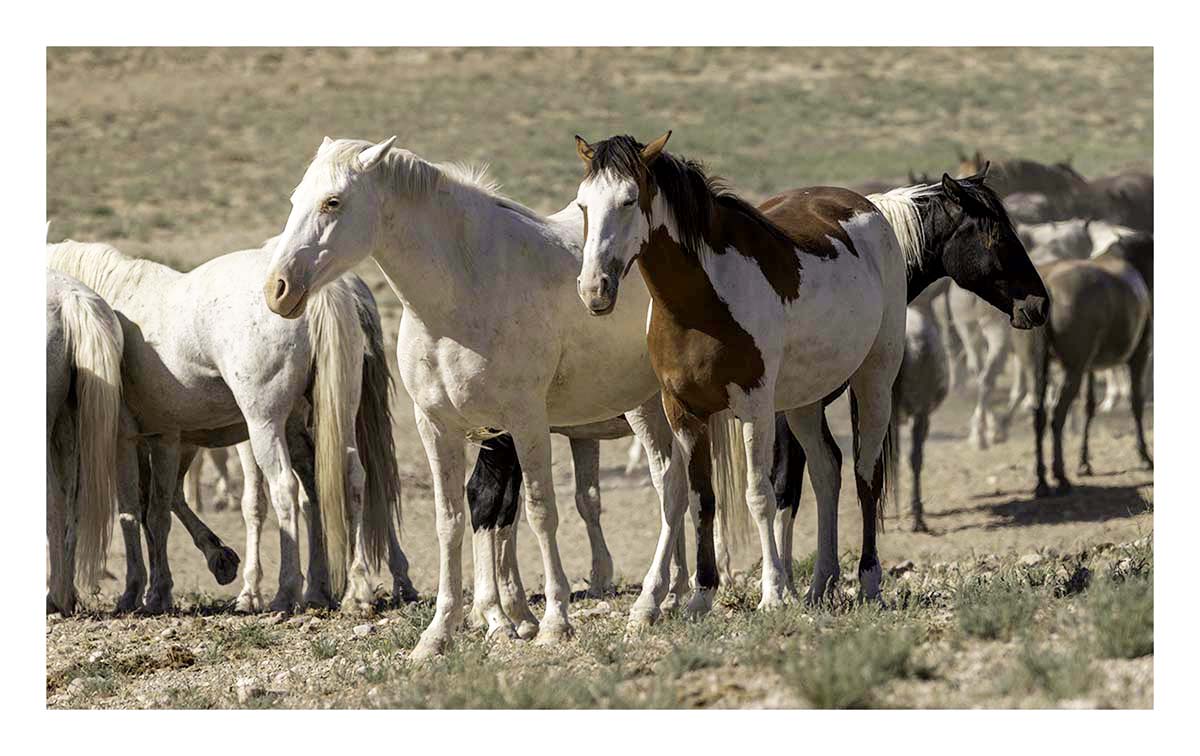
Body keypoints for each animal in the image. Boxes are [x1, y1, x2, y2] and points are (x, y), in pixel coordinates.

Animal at [47, 241, 413, 614]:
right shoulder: (166, 437)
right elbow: (160, 509)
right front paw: (170, 585)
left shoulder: (128, 438)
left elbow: (135, 511)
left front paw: (137, 592)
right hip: (331, 415)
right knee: (348, 480)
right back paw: (345, 591)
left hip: (265, 423)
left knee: (285, 489)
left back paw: (287, 593)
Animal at [262, 137, 699, 657]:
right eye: (294, 199)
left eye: (333, 202)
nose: (277, 288)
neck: (464, 290)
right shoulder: (438, 427)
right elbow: (453, 520)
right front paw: (440, 632)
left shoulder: (525, 421)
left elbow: (539, 512)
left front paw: (553, 622)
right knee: (679, 486)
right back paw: (672, 597)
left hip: (652, 408)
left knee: (671, 486)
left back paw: (653, 603)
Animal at [1013, 232, 1153, 496]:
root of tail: (1048, 285)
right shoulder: (1140, 352)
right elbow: (1136, 402)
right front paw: (1144, 457)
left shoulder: (1090, 365)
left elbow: (1088, 407)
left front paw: (1084, 462)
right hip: (1073, 368)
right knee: (1057, 415)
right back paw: (1060, 476)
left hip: (1037, 367)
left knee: (1039, 414)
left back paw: (1042, 480)